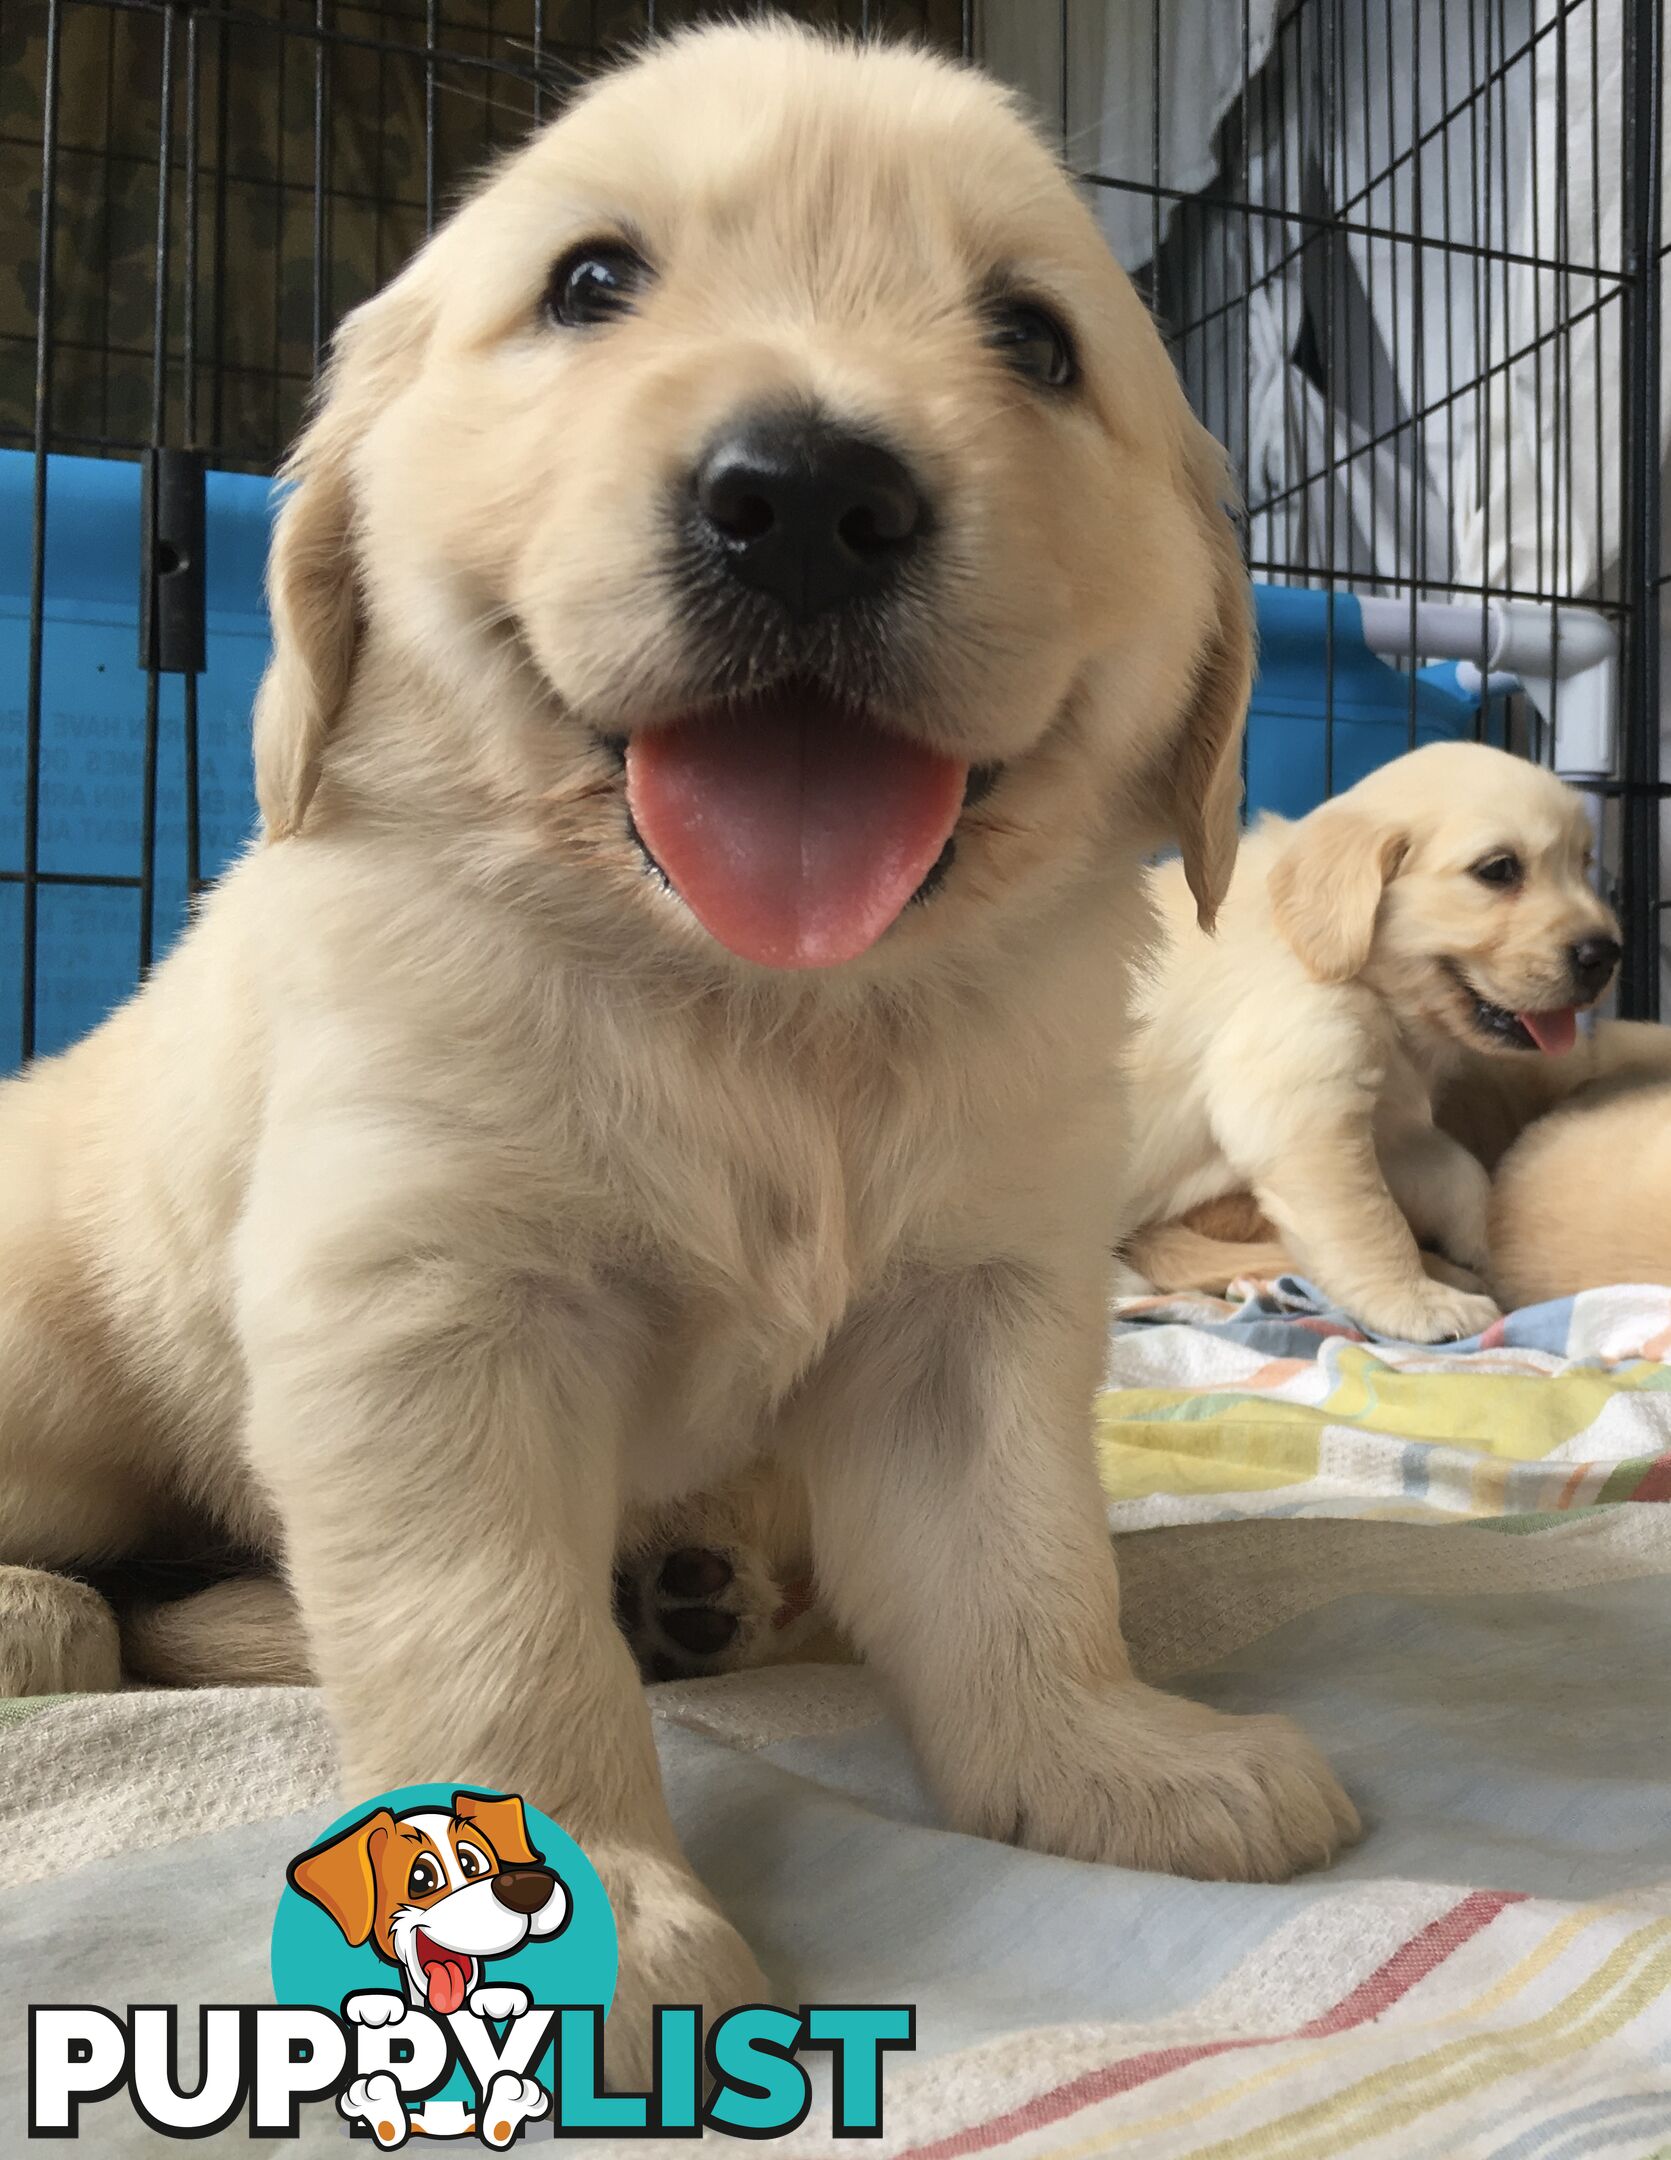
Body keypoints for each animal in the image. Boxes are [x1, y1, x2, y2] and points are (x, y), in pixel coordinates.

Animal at [0, 25, 1364, 2064]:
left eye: (1034, 338)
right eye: (589, 281)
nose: (804, 495)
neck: (761, 1010)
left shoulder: (974, 1309)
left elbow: (1026, 1566)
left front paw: (1112, 1761)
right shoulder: (425, 1312)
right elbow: (492, 1638)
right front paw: (588, 1929)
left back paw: (698, 1585)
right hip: (61, 1359)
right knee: (137, 1585)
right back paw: (50, 1614)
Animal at [1122, 751, 1623, 1339]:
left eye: (1585, 861)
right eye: (1499, 869)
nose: (1604, 955)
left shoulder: (1389, 1121)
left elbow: (1461, 1175)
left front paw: (1487, 1245)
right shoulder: (1303, 1095)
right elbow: (1371, 1224)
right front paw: (1421, 1303)